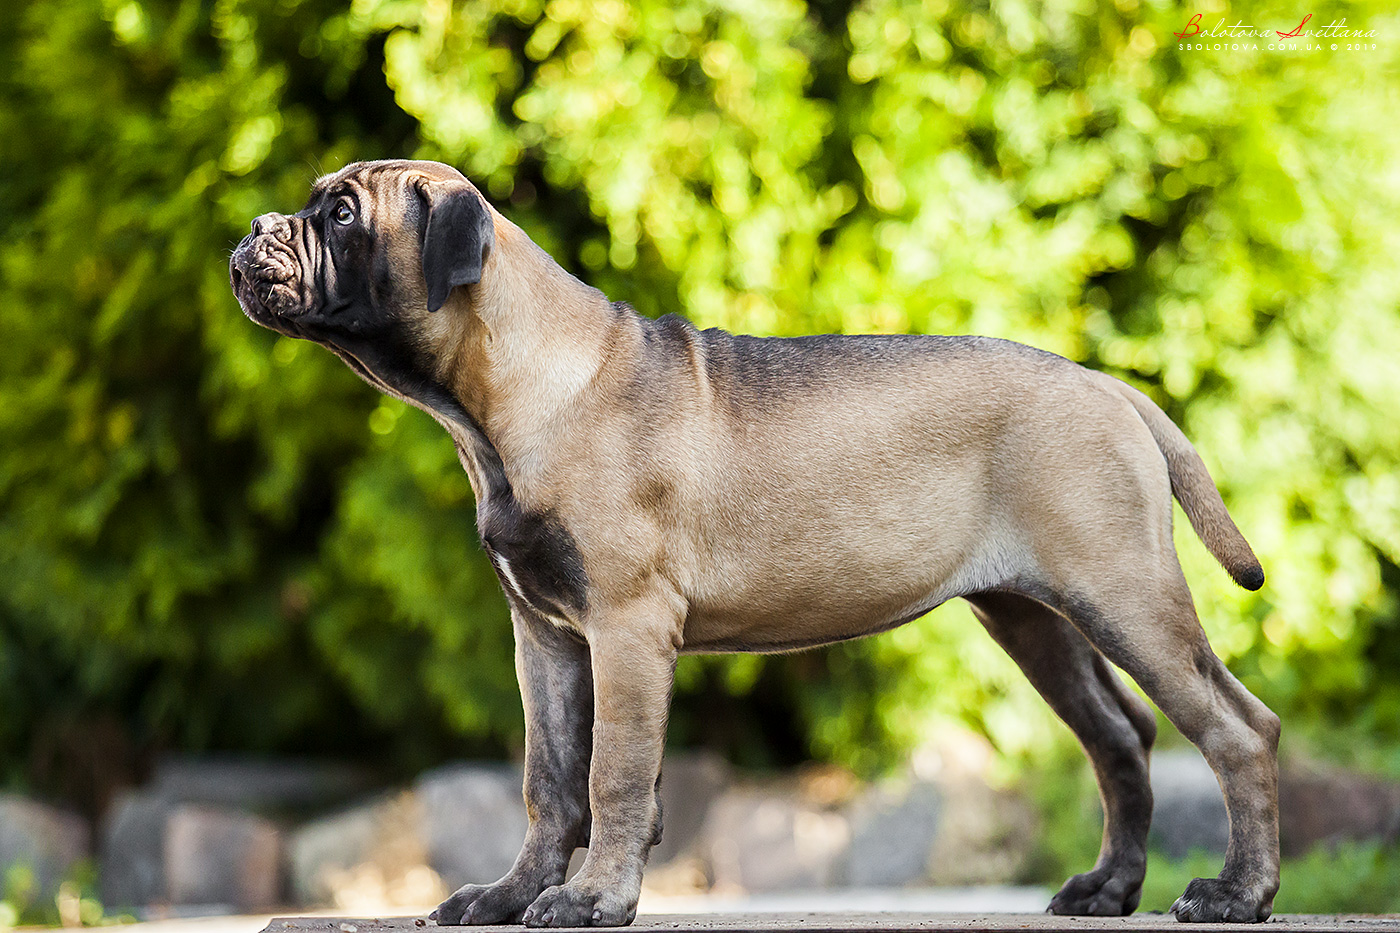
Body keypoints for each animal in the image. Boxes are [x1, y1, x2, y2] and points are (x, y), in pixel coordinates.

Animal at [229, 159, 1282, 924]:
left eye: (339, 216)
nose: (249, 232)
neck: (511, 394)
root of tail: (1106, 384)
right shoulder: (547, 638)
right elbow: (549, 779)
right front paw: (513, 894)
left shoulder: (626, 627)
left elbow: (613, 773)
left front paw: (592, 898)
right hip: (1035, 618)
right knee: (1122, 737)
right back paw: (1110, 889)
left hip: (1124, 594)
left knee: (1238, 728)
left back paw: (1238, 894)